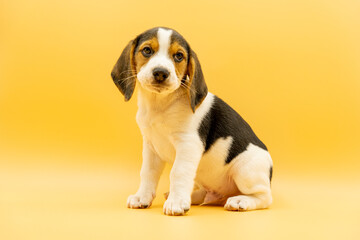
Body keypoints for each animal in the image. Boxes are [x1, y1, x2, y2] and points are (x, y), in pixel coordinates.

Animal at [110, 26, 272, 216]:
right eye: (147, 50)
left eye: (179, 56)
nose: (161, 72)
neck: (161, 104)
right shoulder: (151, 146)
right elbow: (148, 173)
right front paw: (142, 197)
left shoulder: (188, 144)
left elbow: (178, 172)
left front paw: (177, 202)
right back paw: (193, 196)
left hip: (246, 171)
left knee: (265, 197)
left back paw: (241, 201)